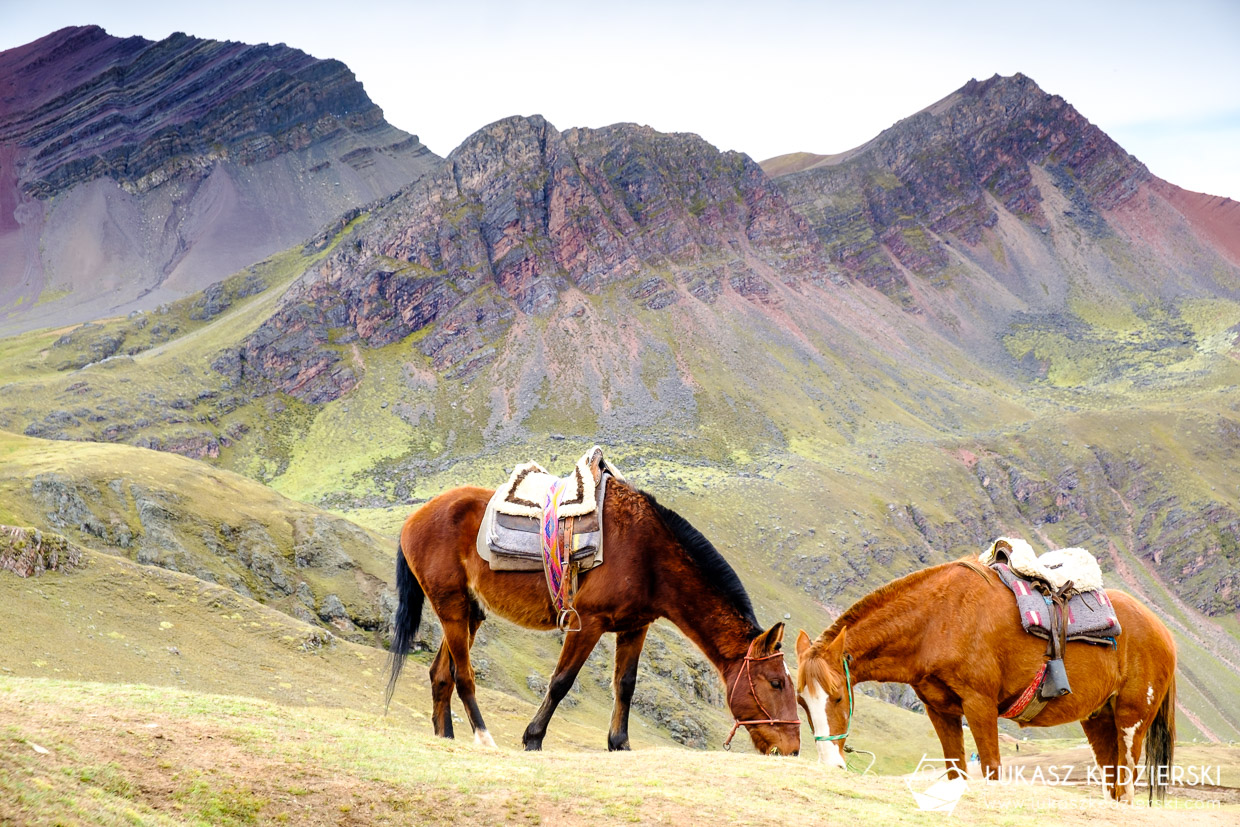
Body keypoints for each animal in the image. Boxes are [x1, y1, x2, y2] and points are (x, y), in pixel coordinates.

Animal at [381, 478, 798, 758]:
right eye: (776, 683)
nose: (792, 749)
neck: (647, 555)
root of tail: (413, 519)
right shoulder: (589, 622)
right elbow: (561, 681)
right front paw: (533, 738)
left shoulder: (635, 627)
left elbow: (626, 685)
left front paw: (620, 743)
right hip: (452, 608)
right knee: (464, 676)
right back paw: (483, 737)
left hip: (469, 613)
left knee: (441, 674)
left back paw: (445, 737)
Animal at [788, 560, 1175, 803]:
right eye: (801, 702)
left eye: (838, 697)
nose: (831, 764)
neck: (936, 621)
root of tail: (1163, 631)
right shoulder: (941, 711)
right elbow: (955, 774)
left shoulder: (979, 706)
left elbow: (990, 770)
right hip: (1098, 720)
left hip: (1131, 721)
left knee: (1126, 786)